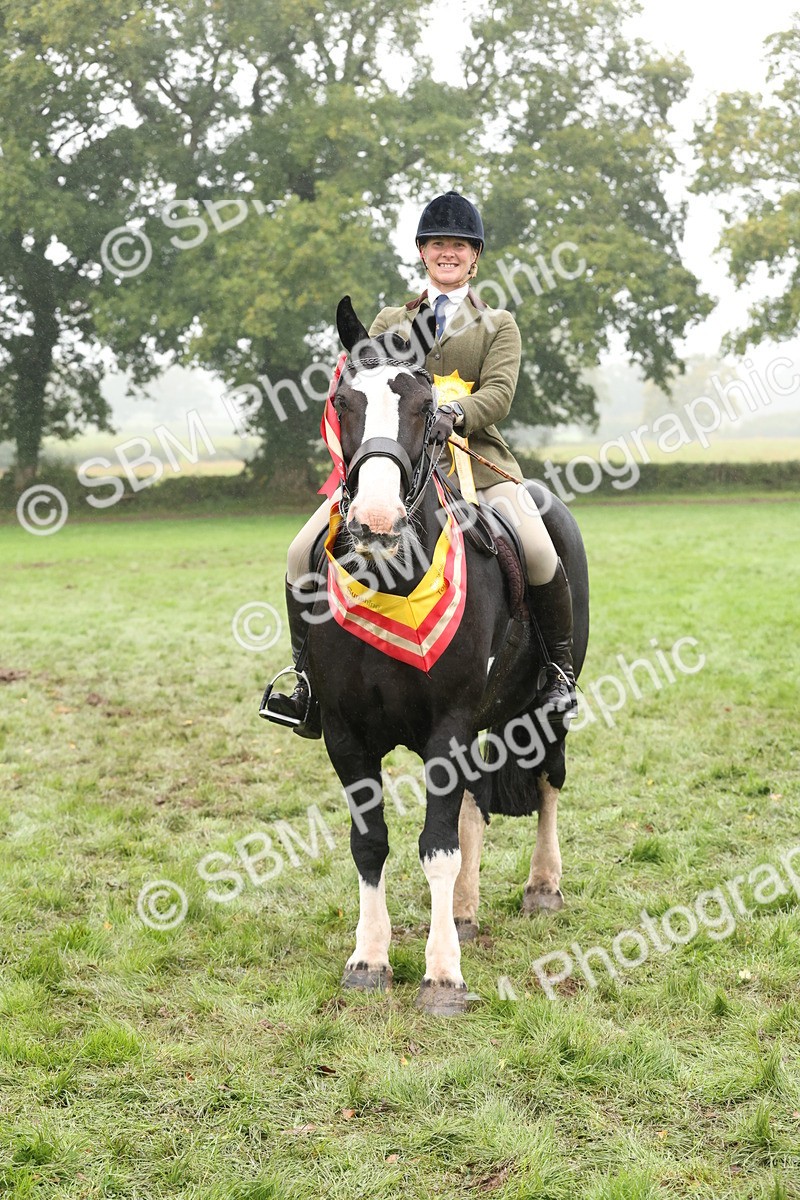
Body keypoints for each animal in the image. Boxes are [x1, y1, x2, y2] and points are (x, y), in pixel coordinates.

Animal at [300, 295, 589, 1015]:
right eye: (342, 399)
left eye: (426, 405)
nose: (375, 521)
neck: (393, 576)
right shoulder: (345, 733)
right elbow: (371, 842)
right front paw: (370, 960)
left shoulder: (448, 727)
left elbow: (436, 846)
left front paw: (442, 977)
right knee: (475, 806)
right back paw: (464, 911)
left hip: (545, 706)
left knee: (547, 782)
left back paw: (542, 888)